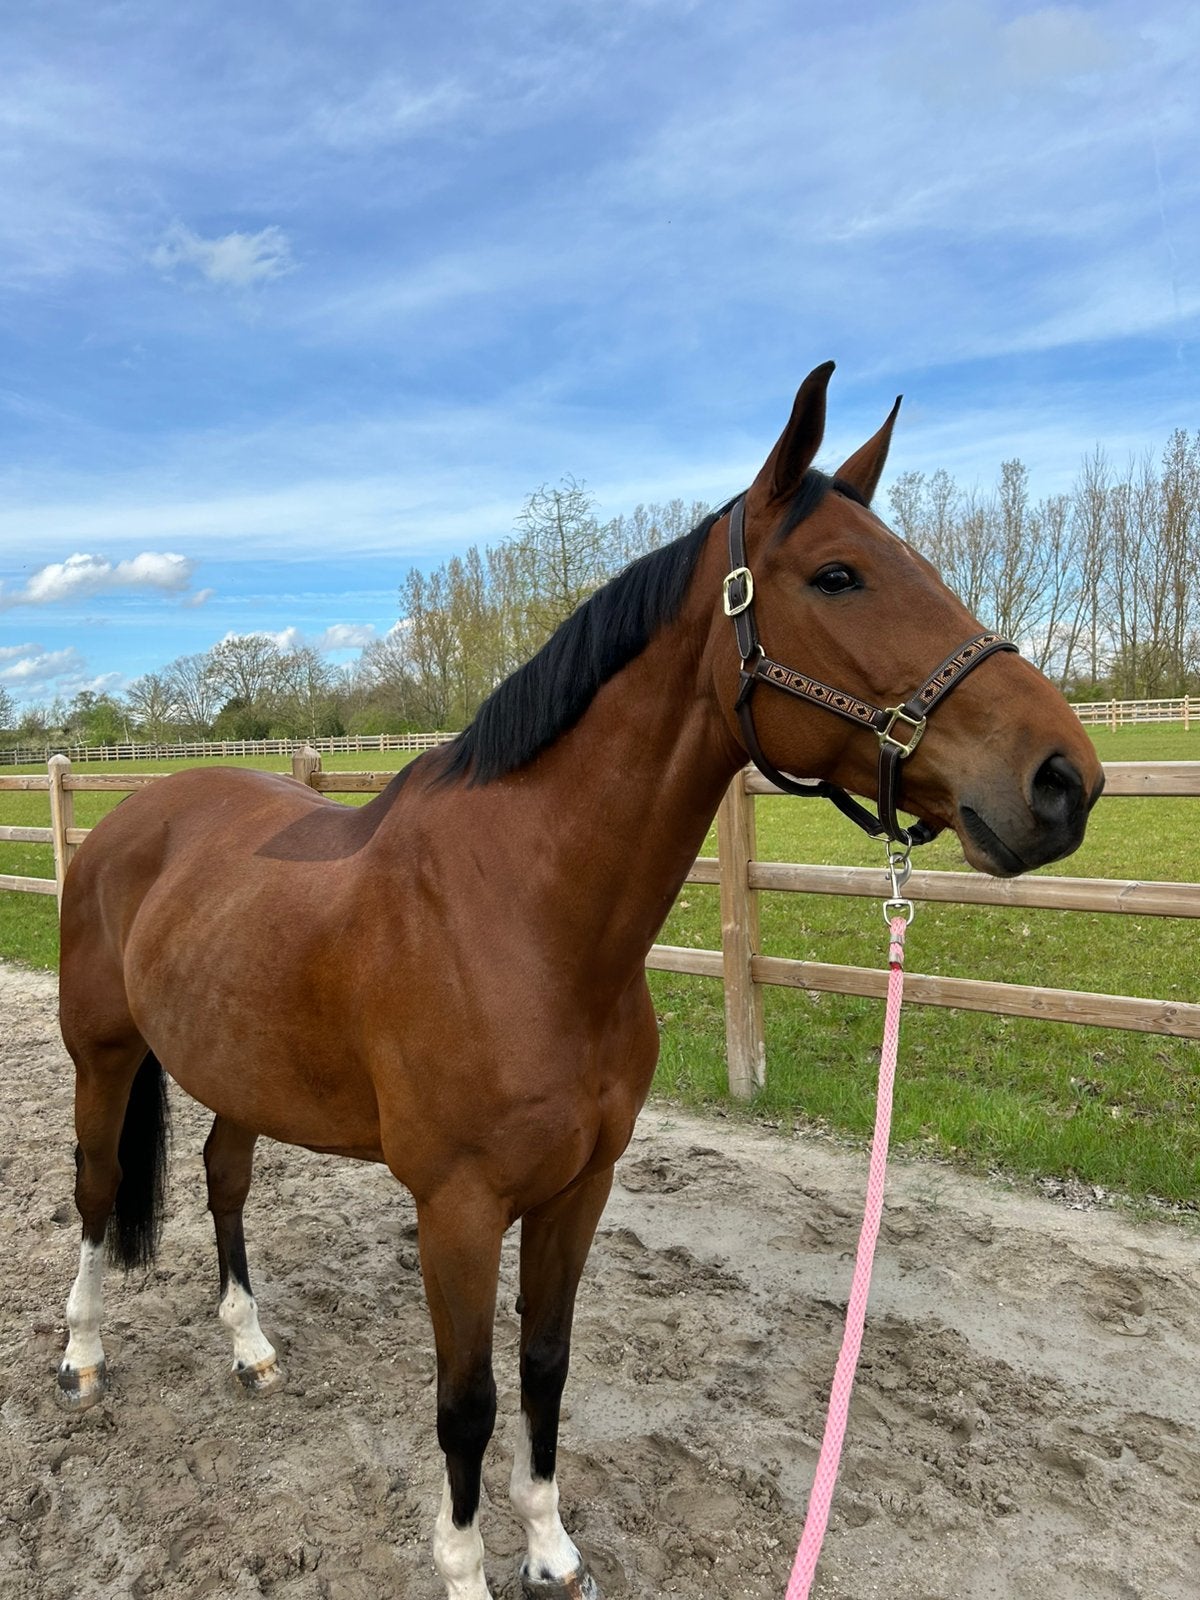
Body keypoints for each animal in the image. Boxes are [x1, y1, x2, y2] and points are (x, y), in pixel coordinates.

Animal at [56, 362, 1103, 1600]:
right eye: (839, 575)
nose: (1062, 781)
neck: (525, 917)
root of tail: (131, 815)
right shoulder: (457, 1208)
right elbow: (465, 1400)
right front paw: (465, 1566)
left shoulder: (580, 1187)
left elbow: (546, 1365)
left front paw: (551, 1548)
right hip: (104, 1056)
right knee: (91, 1193)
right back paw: (80, 1355)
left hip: (240, 1070)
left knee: (225, 1179)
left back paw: (251, 1346)